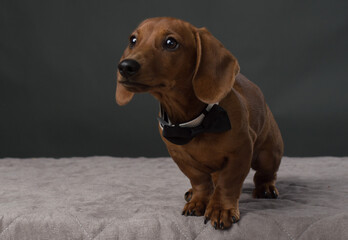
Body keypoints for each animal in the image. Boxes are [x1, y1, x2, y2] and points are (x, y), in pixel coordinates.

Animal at [115, 17, 284, 231]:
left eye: (170, 43)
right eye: (133, 40)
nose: (125, 66)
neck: (196, 124)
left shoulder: (241, 151)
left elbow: (228, 183)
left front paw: (221, 209)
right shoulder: (180, 157)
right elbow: (200, 181)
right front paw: (199, 201)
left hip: (268, 153)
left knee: (264, 173)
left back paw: (266, 188)